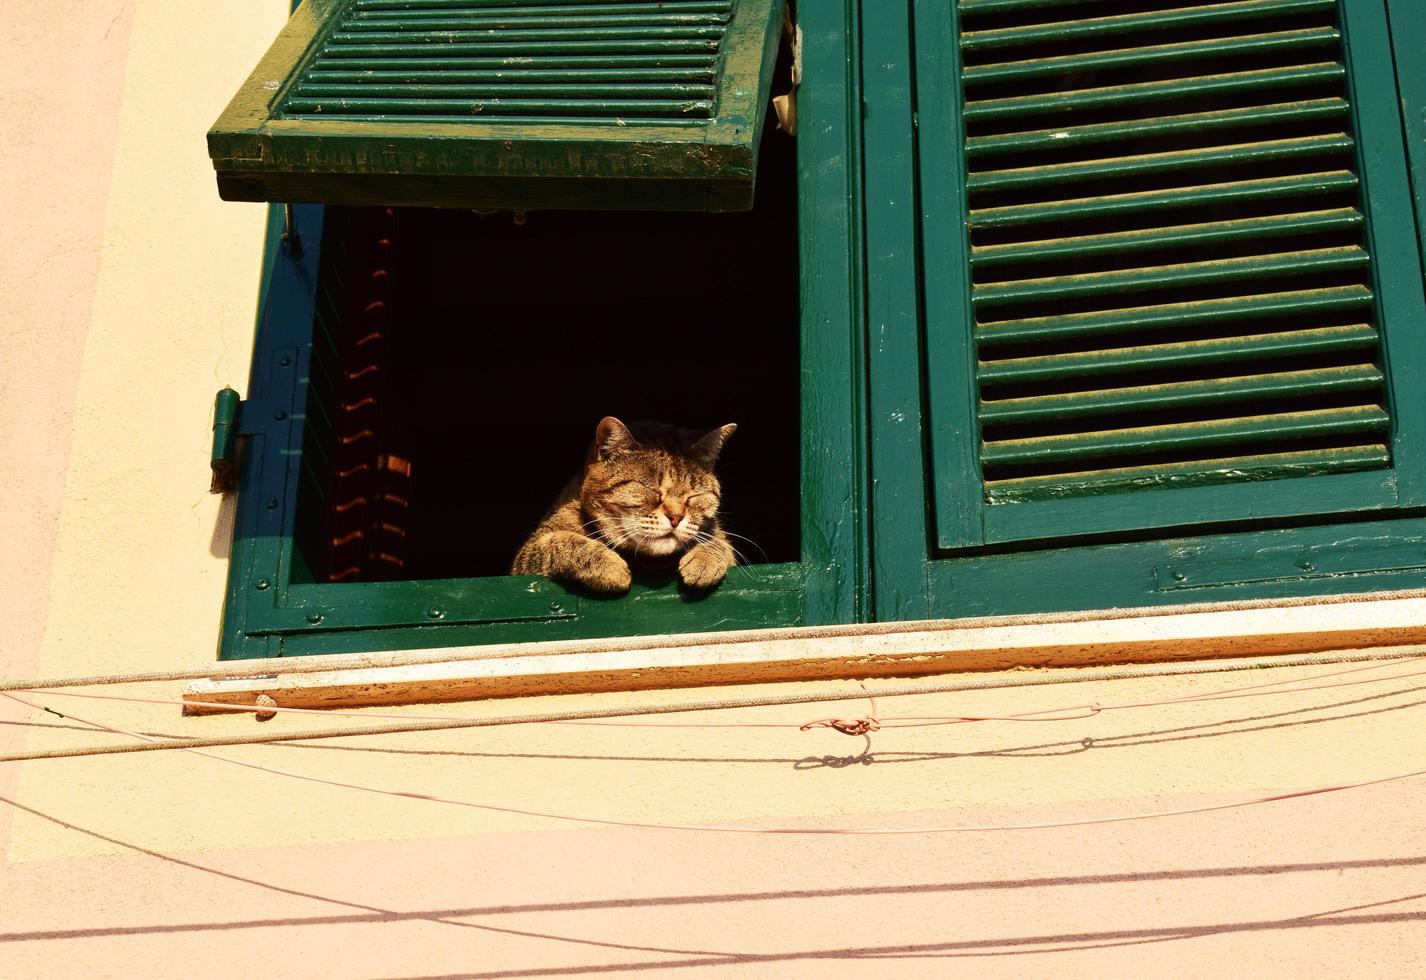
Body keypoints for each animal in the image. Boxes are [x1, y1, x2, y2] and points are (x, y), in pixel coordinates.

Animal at [510, 416, 735, 593]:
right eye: (650, 488)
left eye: (694, 495)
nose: (676, 517)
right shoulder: (526, 558)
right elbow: (561, 541)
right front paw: (609, 566)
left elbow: (718, 539)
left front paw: (706, 558)